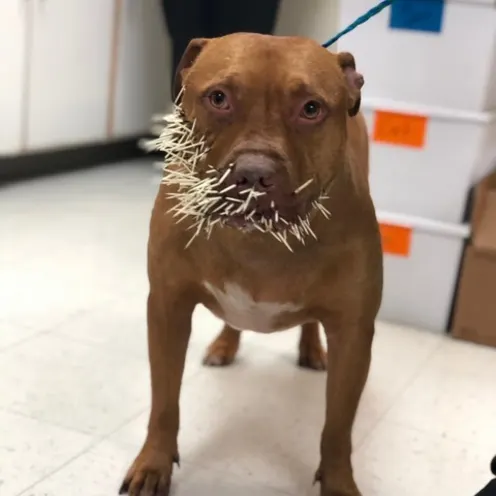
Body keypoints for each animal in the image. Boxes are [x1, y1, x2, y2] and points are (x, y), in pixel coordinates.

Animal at [120, 34, 384, 496]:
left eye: (311, 108)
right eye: (218, 98)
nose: (255, 174)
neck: (258, 243)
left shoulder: (354, 334)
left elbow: (337, 426)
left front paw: (338, 482)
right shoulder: (168, 309)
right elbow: (164, 401)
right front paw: (154, 463)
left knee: (311, 324)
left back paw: (311, 349)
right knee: (234, 320)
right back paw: (225, 344)